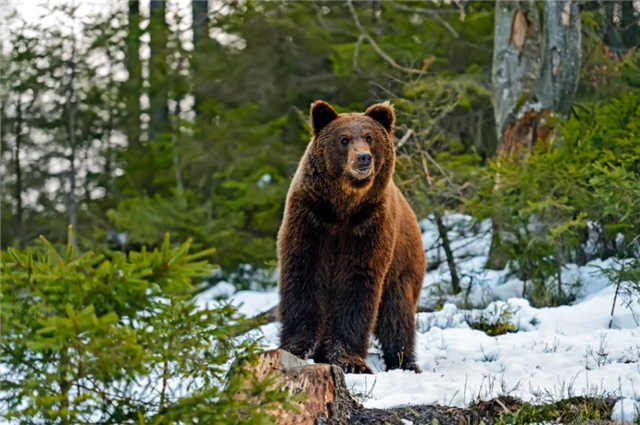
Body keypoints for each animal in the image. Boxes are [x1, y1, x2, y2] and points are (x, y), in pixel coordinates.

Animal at [278, 98, 428, 372]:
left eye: (369, 137)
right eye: (344, 139)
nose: (363, 158)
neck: (343, 207)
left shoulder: (369, 225)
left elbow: (357, 284)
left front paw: (349, 361)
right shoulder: (312, 218)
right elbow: (304, 275)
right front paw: (297, 347)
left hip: (403, 267)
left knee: (396, 315)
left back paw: (404, 362)